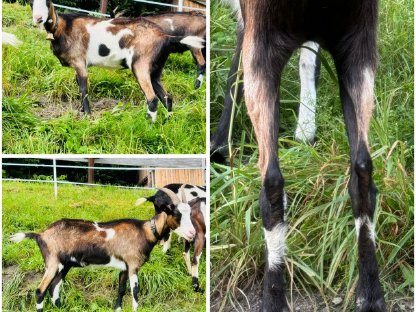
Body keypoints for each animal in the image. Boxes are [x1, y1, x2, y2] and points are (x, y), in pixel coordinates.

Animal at [10, 186, 196, 310]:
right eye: (175, 213)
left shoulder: (124, 267)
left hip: (64, 265)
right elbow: (135, 292)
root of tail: (40, 235)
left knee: (54, 288)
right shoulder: (133, 265)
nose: (192, 233)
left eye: (190, 213)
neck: (145, 231)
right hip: (52, 262)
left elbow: (121, 290)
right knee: (40, 291)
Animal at [29, 0, 205, 120]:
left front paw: (87, 115)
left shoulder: (80, 63)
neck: (64, 27)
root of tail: (165, 36)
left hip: (141, 65)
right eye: (31, 2)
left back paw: (148, 127)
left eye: (47, 2)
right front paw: (81, 111)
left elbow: (83, 89)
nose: (38, 18)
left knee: (152, 98)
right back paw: (166, 123)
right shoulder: (78, 66)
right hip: (155, 69)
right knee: (167, 97)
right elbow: (79, 86)